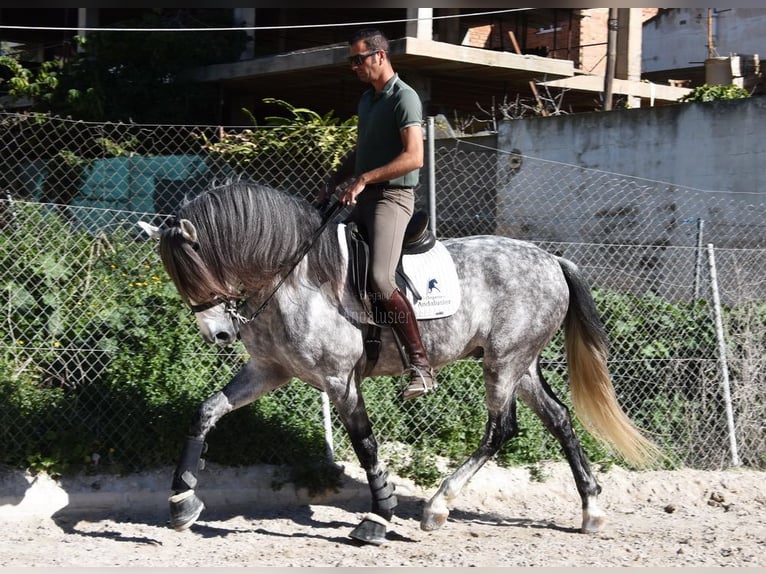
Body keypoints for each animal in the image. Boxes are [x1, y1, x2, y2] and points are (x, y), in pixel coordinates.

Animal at [140, 182, 664, 548]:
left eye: (194, 268)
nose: (218, 335)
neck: (296, 278)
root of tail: (553, 260)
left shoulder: (340, 379)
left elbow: (365, 444)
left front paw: (377, 518)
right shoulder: (270, 370)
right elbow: (206, 412)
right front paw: (182, 502)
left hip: (505, 361)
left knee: (501, 429)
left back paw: (438, 506)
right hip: (522, 363)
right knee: (557, 419)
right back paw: (591, 511)